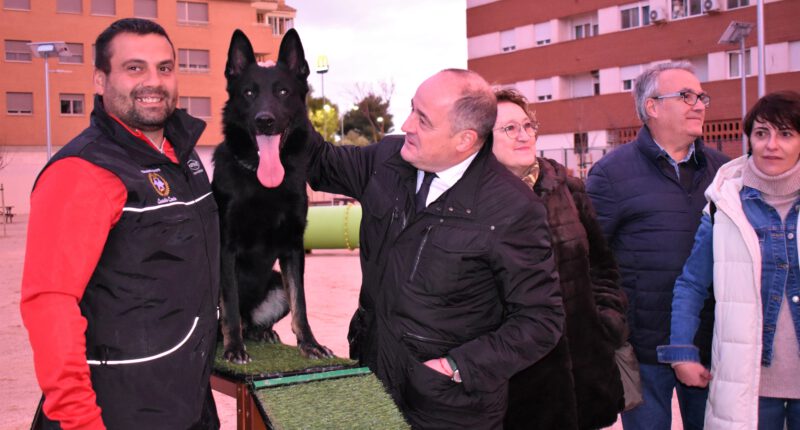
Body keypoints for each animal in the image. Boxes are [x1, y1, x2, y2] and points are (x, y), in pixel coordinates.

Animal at [211, 27, 332, 362]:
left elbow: (301, 303)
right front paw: (234, 349)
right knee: (232, 316)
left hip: (276, 283)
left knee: (254, 319)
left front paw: (310, 343)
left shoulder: (292, 247)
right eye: (249, 93)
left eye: (283, 92)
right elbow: (229, 305)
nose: (264, 120)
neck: (259, 178)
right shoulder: (226, 248)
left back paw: (261, 332)